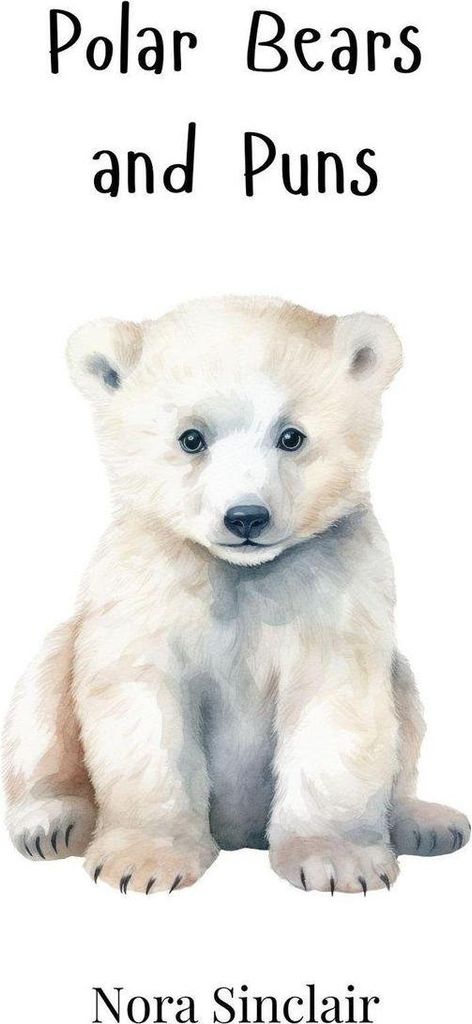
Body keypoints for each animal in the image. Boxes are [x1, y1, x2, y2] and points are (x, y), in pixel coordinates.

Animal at [3, 296, 470, 894]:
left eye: (291, 436)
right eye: (191, 438)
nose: (246, 516)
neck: (242, 574)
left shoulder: (331, 588)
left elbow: (333, 707)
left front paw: (337, 861)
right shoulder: (150, 589)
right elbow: (146, 706)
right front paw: (144, 861)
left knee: (405, 705)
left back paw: (428, 823)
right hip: (66, 656)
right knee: (44, 686)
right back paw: (52, 821)